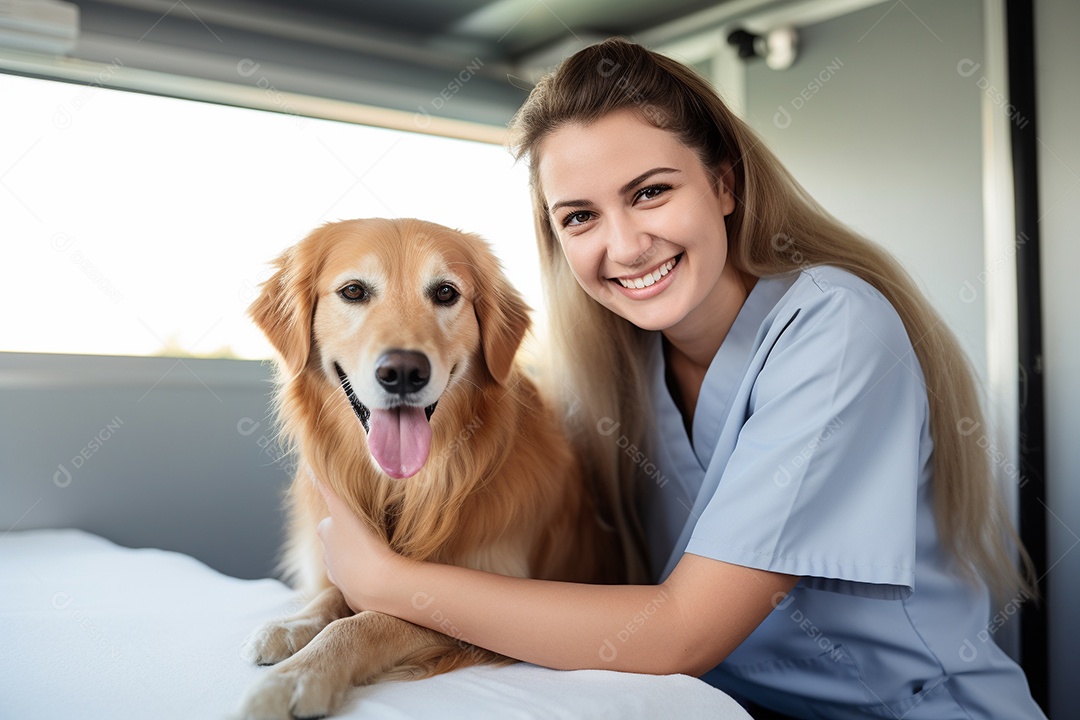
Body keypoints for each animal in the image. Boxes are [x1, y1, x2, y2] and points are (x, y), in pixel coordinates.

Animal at [239, 220, 622, 720]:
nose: (403, 371)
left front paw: (298, 676)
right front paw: (291, 625)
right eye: (353, 291)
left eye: (445, 292)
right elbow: (335, 592)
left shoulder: (479, 606)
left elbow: (371, 619)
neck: (407, 486)